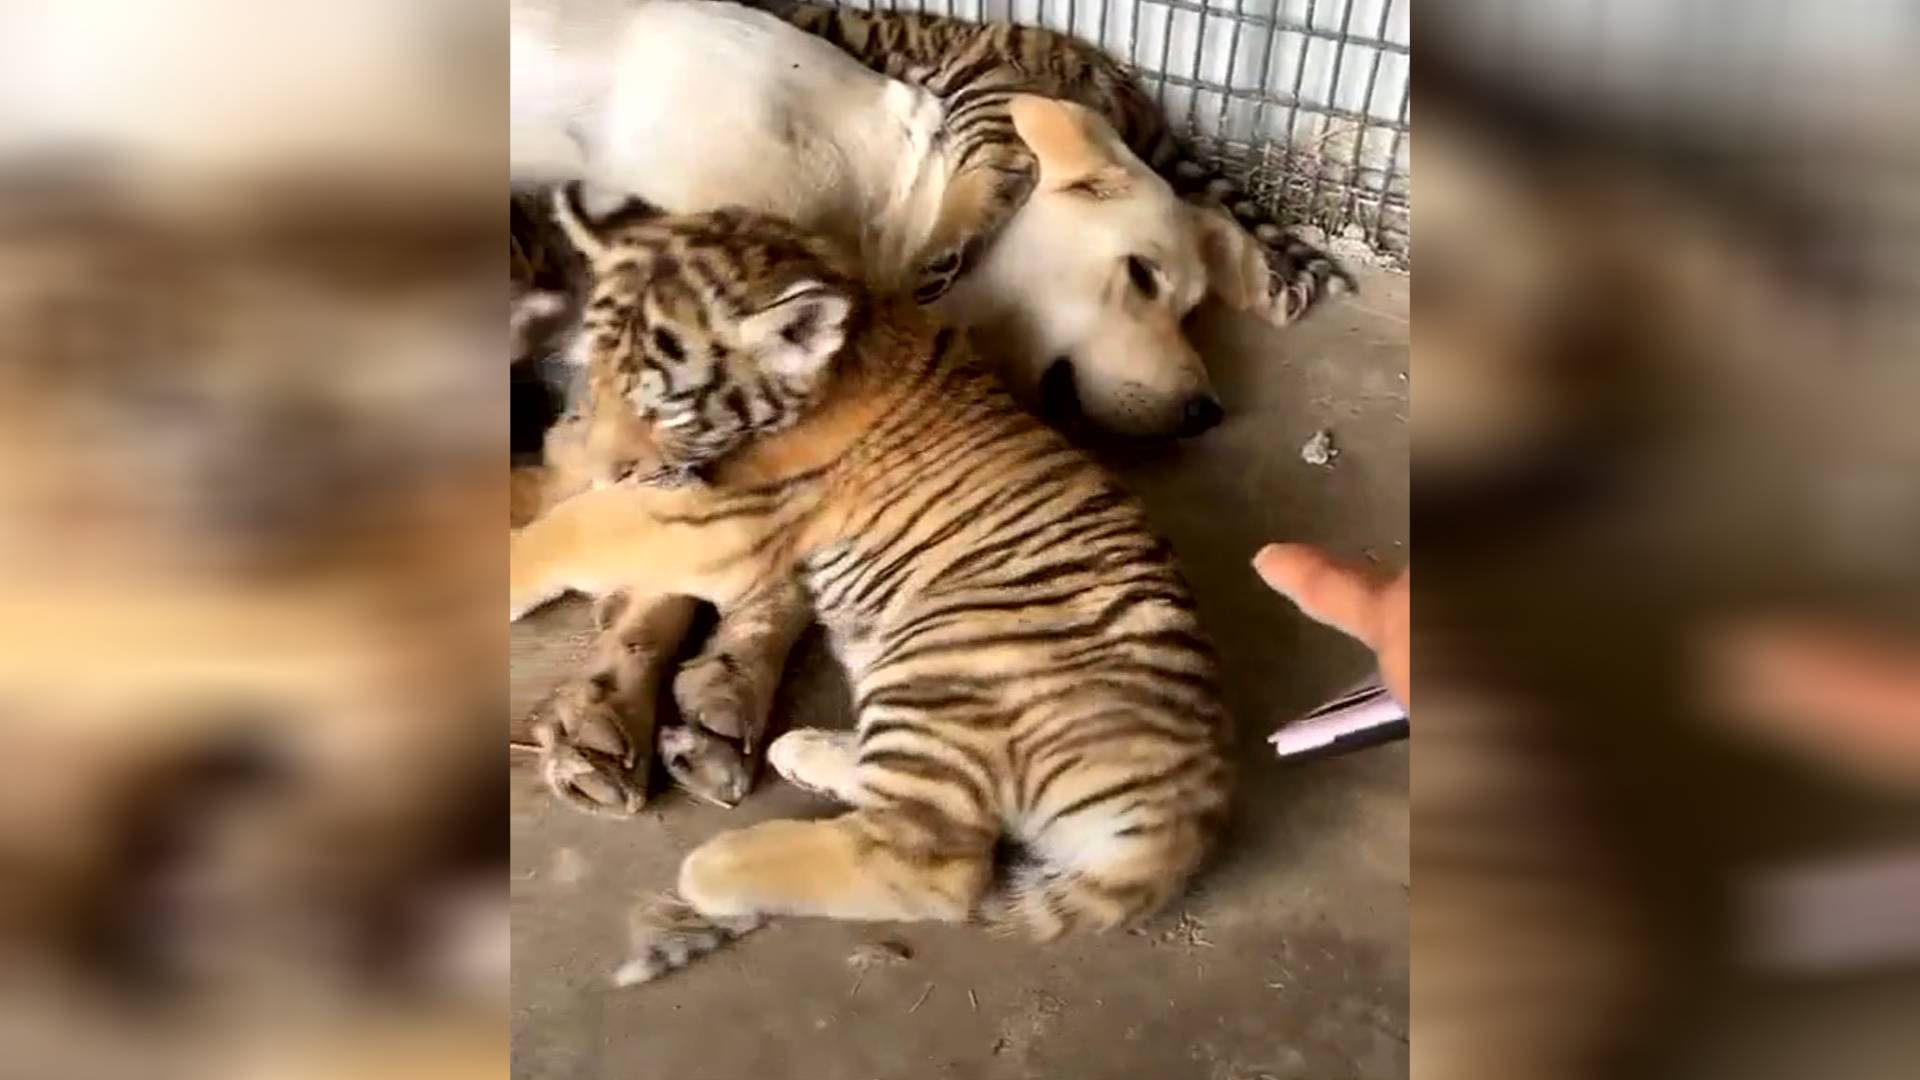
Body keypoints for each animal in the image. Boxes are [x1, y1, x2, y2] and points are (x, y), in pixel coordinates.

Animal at [509, 201, 1234, 981]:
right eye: (597, 380)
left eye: (662, 407)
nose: (609, 466)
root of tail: (1185, 812)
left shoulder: (719, 519)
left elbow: (578, 528)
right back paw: (803, 751)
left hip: (948, 661)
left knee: (927, 862)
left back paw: (713, 867)